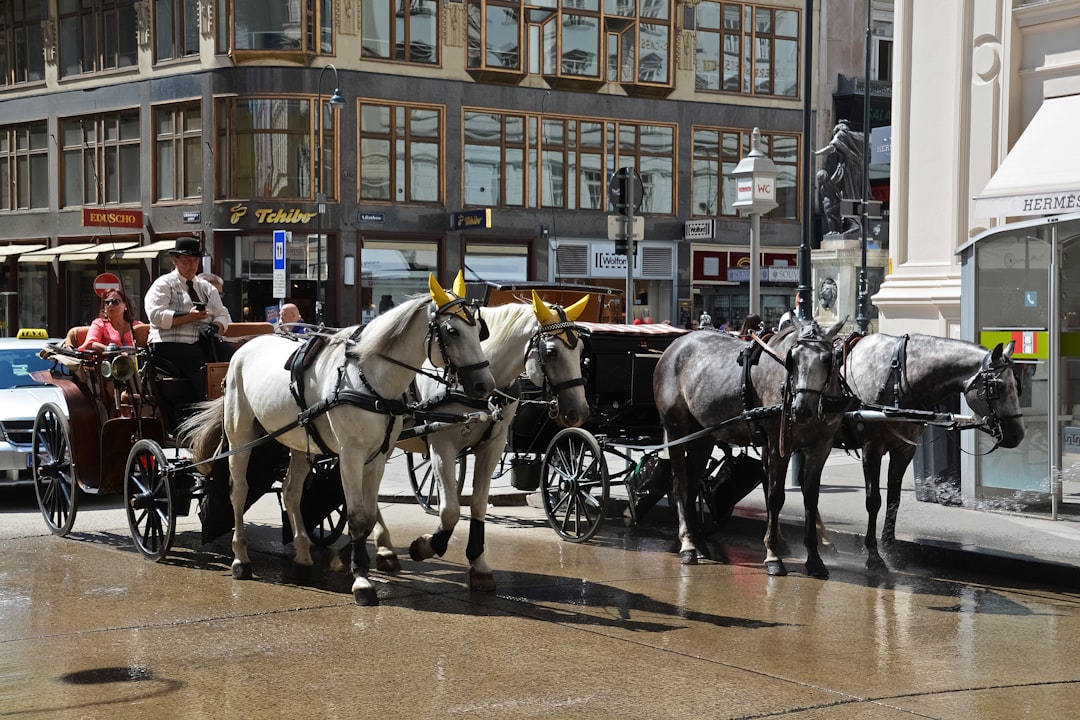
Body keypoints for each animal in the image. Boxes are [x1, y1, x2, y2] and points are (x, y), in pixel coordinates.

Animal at [184, 273, 494, 604]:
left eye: (479, 329)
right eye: (452, 331)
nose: (484, 385)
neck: (369, 379)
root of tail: (247, 346)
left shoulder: (378, 456)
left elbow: (368, 515)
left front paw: (362, 562)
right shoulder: (350, 454)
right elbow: (357, 516)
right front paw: (362, 581)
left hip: (297, 439)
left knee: (291, 491)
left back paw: (303, 554)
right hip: (240, 434)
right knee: (239, 491)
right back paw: (240, 558)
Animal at [406, 291, 591, 591]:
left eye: (582, 350)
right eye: (551, 352)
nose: (580, 412)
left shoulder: (492, 447)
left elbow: (478, 503)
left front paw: (478, 563)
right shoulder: (441, 445)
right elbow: (450, 509)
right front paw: (427, 545)